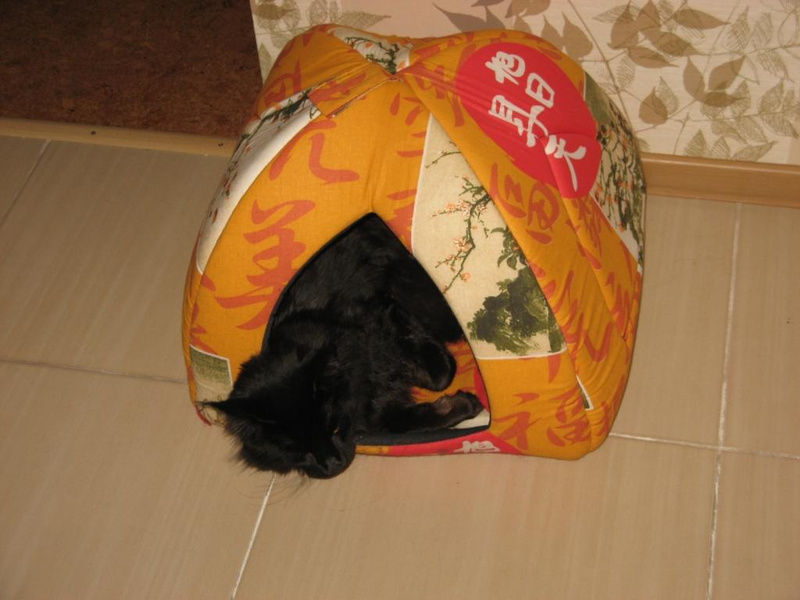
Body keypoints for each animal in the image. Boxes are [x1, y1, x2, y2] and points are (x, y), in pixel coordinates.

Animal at [205, 214, 483, 479]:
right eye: (296, 451)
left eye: (335, 427)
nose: (332, 465)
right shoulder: (378, 415)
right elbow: (409, 420)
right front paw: (457, 405)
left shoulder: (386, 308)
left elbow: (441, 373)